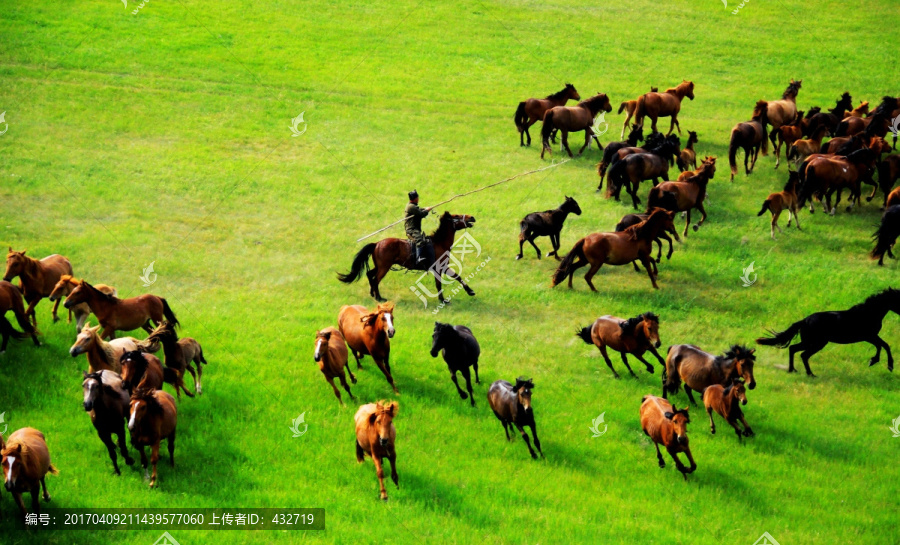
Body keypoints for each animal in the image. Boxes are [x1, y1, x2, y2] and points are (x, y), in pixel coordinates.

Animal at [340, 210, 478, 302]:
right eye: (457, 216)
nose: (472, 217)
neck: (439, 243)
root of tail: (377, 243)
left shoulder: (443, 268)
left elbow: (457, 276)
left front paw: (470, 291)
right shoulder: (439, 268)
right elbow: (439, 284)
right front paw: (443, 300)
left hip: (379, 266)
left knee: (370, 275)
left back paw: (372, 294)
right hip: (384, 267)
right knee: (376, 280)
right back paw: (379, 298)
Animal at [548, 209, 676, 292]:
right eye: (670, 219)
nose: (673, 231)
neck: (641, 235)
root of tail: (585, 239)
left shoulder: (640, 256)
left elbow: (653, 261)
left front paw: (656, 274)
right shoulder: (643, 256)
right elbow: (649, 269)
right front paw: (656, 285)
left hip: (584, 261)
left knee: (572, 268)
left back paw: (570, 286)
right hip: (596, 263)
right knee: (587, 276)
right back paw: (595, 290)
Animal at [756, 288, 900, 374]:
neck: (868, 313)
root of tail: (805, 320)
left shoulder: (870, 337)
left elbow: (882, 345)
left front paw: (876, 362)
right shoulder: (869, 336)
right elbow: (884, 345)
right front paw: (885, 364)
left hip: (811, 342)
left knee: (794, 349)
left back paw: (794, 370)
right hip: (816, 343)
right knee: (802, 354)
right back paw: (809, 374)